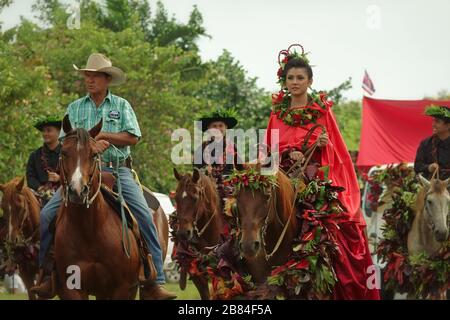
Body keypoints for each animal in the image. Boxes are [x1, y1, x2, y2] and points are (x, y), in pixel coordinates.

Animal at [54, 117, 140, 300]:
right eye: (64, 152)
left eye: (94, 154)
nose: (77, 191)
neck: (90, 231)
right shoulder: (72, 288)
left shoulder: (122, 288)